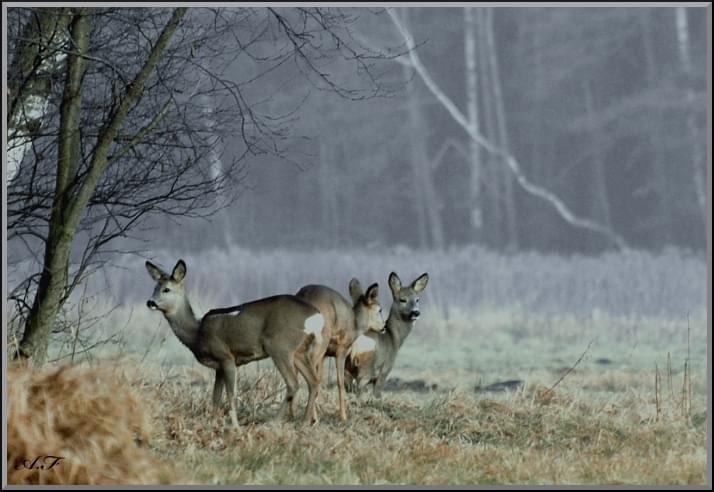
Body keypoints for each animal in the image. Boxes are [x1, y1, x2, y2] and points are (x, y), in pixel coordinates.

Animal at [144, 260, 320, 428]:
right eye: (154, 287)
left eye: (166, 289)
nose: (150, 302)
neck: (197, 333)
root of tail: (316, 316)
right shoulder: (218, 367)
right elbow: (215, 398)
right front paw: (213, 422)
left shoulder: (225, 356)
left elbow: (231, 394)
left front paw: (235, 426)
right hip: (300, 351)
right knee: (314, 382)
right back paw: (305, 422)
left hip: (280, 346)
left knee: (293, 383)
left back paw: (273, 422)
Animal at [294, 278, 384, 420]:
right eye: (380, 310)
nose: (384, 327)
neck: (355, 325)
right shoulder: (341, 350)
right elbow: (340, 382)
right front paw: (343, 416)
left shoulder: (325, 354)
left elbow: (321, 379)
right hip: (322, 338)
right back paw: (310, 418)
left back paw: (292, 414)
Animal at [344, 270, 428, 398]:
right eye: (402, 299)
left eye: (417, 299)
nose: (416, 312)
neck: (393, 337)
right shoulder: (386, 367)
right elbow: (377, 392)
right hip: (366, 367)